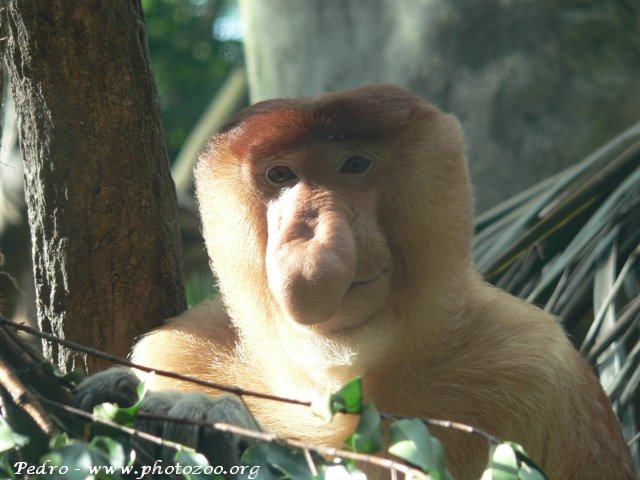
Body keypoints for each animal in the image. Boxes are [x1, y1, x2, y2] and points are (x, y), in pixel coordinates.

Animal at [76, 85, 634, 479]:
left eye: (355, 164)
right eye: (281, 175)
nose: (311, 235)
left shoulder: (539, 367)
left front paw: (216, 422)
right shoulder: (177, 349)